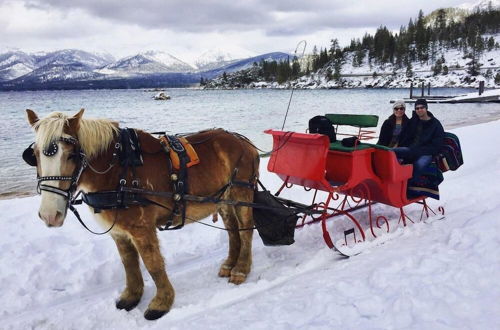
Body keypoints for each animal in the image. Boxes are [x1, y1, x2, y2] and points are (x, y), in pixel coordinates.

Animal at [26, 109, 262, 320]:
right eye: (35, 155)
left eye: (71, 155)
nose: (49, 215)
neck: (118, 170)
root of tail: (244, 142)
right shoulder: (119, 232)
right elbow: (129, 264)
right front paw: (131, 296)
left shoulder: (142, 228)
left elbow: (153, 264)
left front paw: (162, 302)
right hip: (223, 201)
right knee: (233, 231)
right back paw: (229, 264)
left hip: (241, 194)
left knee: (246, 230)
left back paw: (241, 269)